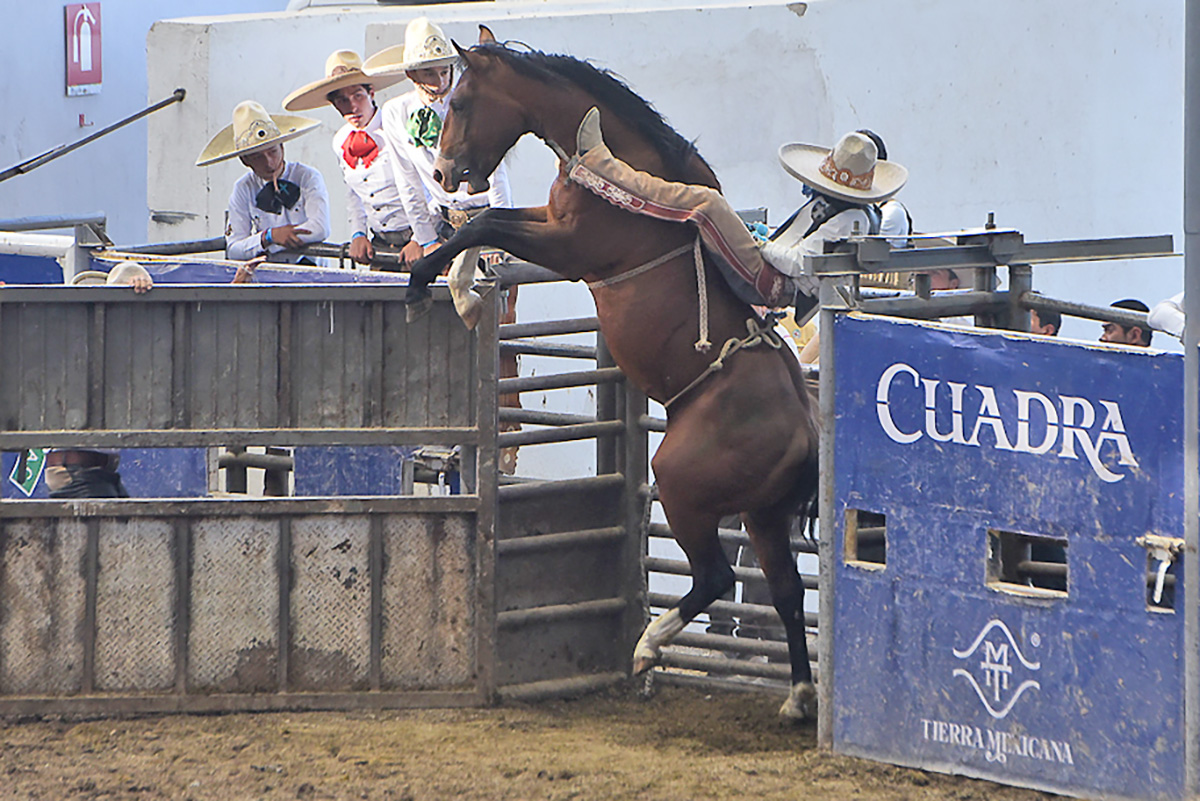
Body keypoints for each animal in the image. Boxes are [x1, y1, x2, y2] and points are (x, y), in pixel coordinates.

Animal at [405, 28, 821, 720]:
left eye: (459, 101)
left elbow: (485, 223)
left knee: (717, 575)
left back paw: (648, 647)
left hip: (681, 486)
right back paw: (798, 697)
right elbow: (486, 228)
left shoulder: (571, 244)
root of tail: (809, 434)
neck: (608, 157)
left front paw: (426, 284)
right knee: (785, 592)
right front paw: (464, 289)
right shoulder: (548, 224)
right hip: (765, 516)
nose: (440, 174)